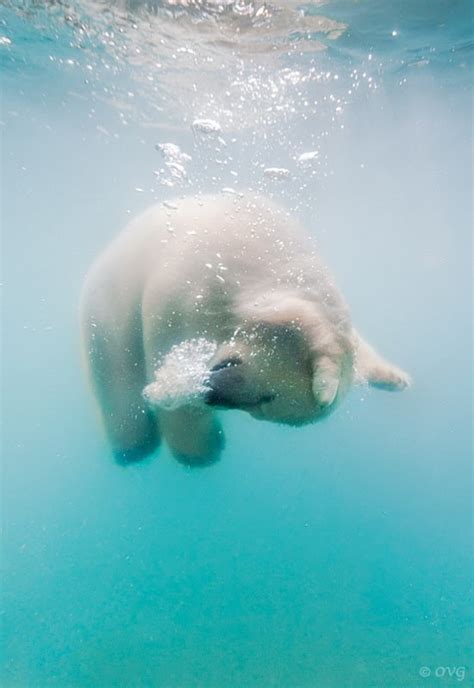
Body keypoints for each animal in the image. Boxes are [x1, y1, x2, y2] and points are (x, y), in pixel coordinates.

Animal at [79, 191, 410, 464]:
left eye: (263, 404)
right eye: (268, 396)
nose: (212, 395)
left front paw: (397, 378)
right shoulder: (190, 281)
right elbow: (167, 346)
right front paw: (200, 448)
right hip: (106, 303)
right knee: (117, 376)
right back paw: (134, 449)